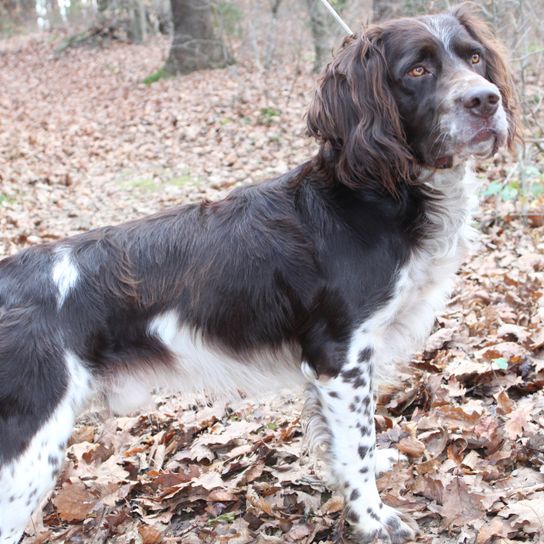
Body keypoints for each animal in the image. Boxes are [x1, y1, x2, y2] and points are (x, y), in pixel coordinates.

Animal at [0, 5, 520, 544]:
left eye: (474, 58)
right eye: (417, 70)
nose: (485, 99)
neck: (375, 195)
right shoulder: (341, 356)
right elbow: (356, 448)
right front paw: (375, 519)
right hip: (28, 450)